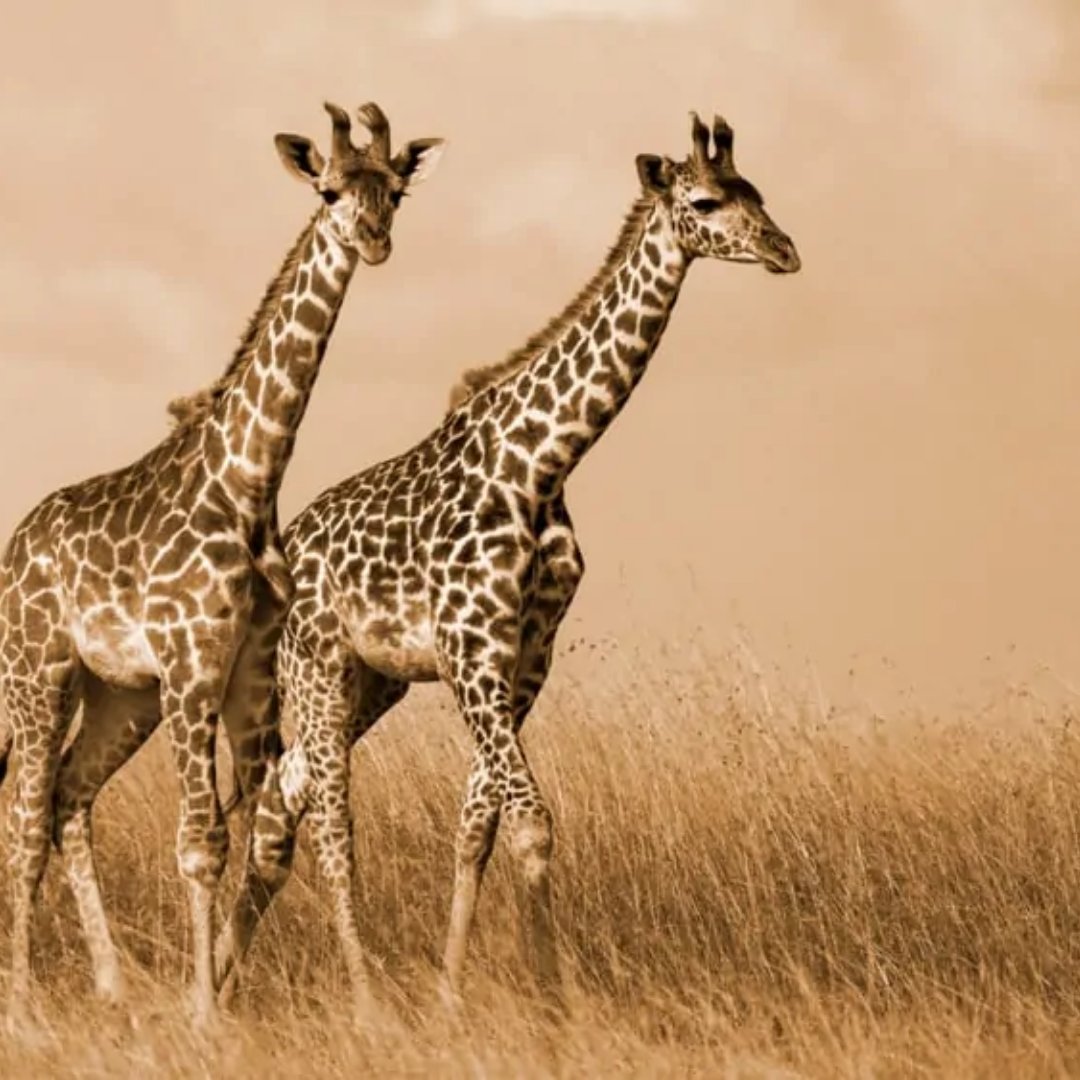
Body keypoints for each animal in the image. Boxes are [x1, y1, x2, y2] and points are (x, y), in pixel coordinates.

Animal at [0, 100, 444, 1028]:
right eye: (328, 188)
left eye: (395, 191)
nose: (373, 239)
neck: (246, 481)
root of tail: (12, 549)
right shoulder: (193, 665)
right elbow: (199, 841)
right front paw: (204, 1011)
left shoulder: (246, 678)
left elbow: (247, 837)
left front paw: (208, 996)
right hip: (42, 671)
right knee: (22, 822)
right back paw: (21, 1004)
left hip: (122, 695)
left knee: (66, 798)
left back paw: (112, 985)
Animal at [213, 111, 800, 1008]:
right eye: (705, 200)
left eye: (757, 192)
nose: (784, 250)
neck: (542, 462)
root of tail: (282, 556)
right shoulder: (472, 651)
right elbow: (531, 822)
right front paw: (552, 999)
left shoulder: (527, 655)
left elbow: (478, 823)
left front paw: (452, 993)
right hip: (317, 670)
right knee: (322, 818)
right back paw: (344, 999)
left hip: (371, 682)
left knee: (284, 804)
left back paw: (220, 986)